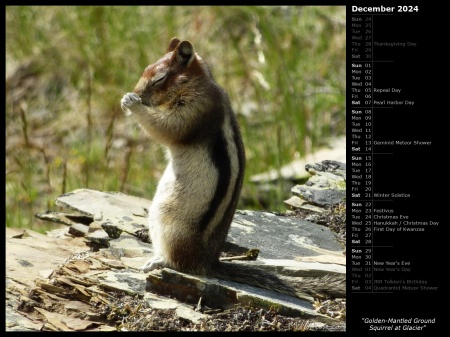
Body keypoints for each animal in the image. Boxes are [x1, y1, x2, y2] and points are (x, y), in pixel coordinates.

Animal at [119, 37, 344, 300]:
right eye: (145, 70)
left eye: (159, 79)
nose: (137, 93)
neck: (198, 84)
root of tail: (208, 263)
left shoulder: (196, 109)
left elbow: (167, 127)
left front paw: (132, 103)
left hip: (168, 223)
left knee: (179, 263)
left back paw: (158, 261)